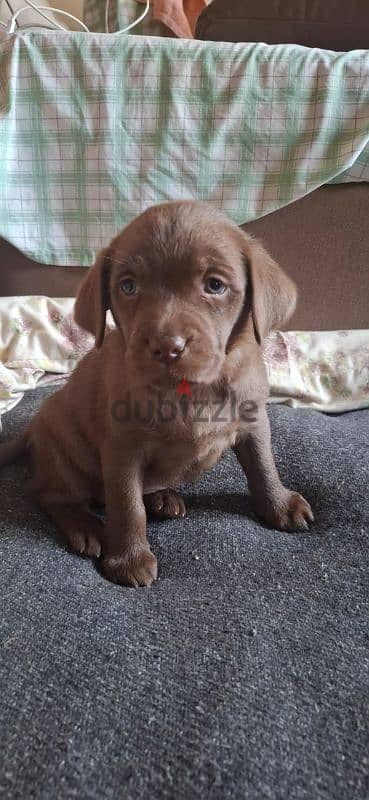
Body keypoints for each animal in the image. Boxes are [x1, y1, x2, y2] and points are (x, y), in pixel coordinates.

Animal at [0, 203, 314, 584]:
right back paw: (86, 527)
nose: (168, 347)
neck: (190, 391)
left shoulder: (254, 421)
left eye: (215, 285)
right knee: (51, 495)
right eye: (128, 286)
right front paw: (128, 560)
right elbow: (126, 505)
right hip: (62, 454)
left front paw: (279, 504)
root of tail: (31, 429)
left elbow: (264, 465)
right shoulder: (122, 448)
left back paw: (163, 497)